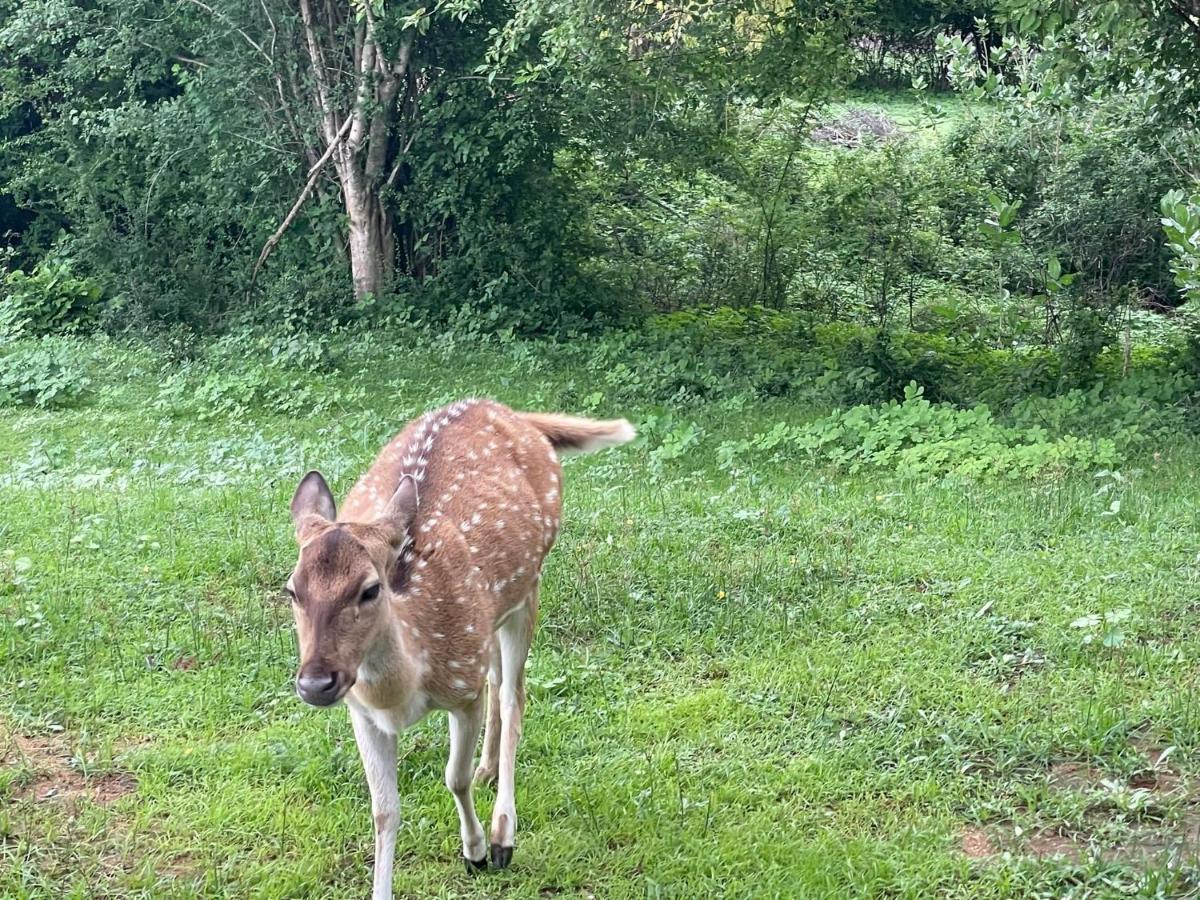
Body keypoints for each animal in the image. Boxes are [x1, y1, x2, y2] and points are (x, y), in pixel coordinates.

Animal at [284, 400, 633, 897]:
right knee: (498, 680)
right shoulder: (362, 712)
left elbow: (454, 776)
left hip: (528, 588)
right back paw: (489, 771)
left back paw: (504, 831)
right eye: (292, 589)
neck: (401, 692)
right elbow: (384, 810)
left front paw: (478, 851)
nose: (316, 683)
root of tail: (512, 412)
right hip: (489, 618)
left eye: (370, 589)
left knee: (512, 693)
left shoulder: (462, 691)